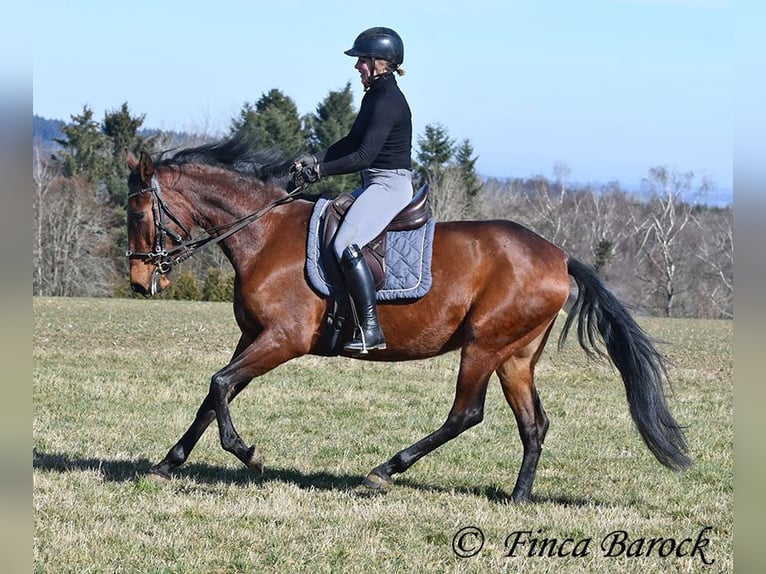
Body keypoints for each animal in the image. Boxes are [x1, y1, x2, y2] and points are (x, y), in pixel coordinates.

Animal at [127, 135, 696, 504]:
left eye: (137, 213)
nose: (138, 281)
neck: (263, 235)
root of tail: (558, 255)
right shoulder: (253, 337)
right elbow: (213, 394)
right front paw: (167, 464)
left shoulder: (282, 339)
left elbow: (219, 385)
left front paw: (248, 454)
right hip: (515, 355)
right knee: (534, 424)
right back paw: (518, 497)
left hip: (483, 345)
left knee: (465, 414)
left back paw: (385, 470)